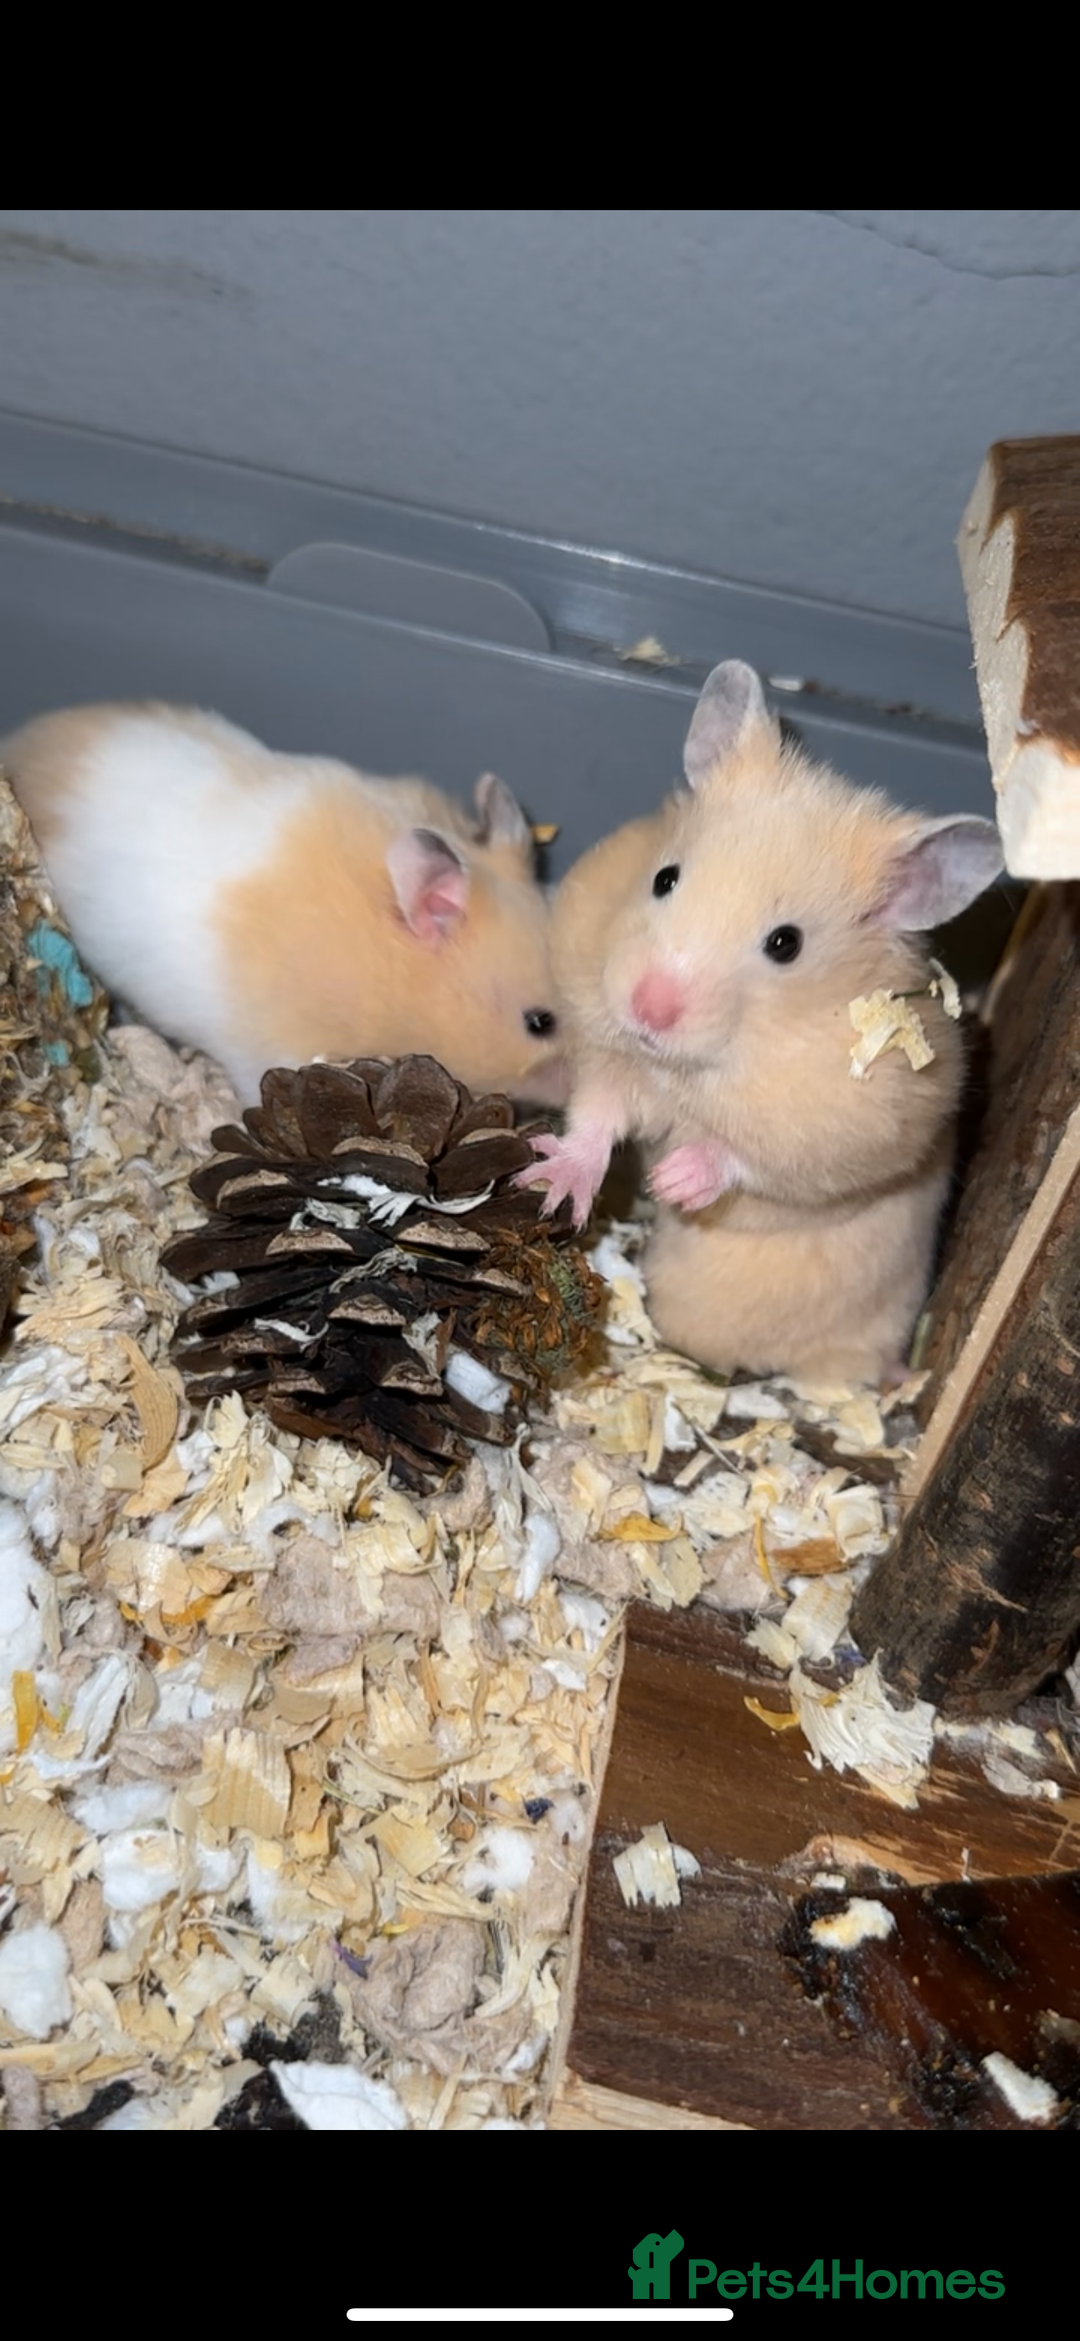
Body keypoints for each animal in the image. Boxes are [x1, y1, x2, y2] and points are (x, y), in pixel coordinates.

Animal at [518, 659, 1004, 1384]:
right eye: (664, 878)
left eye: (786, 944)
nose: (647, 1009)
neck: (688, 1067)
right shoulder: (616, 1061)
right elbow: (596, 1118)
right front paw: (552, 1188)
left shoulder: (852, 1131)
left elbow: (751, 1161)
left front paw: (673, 1179)